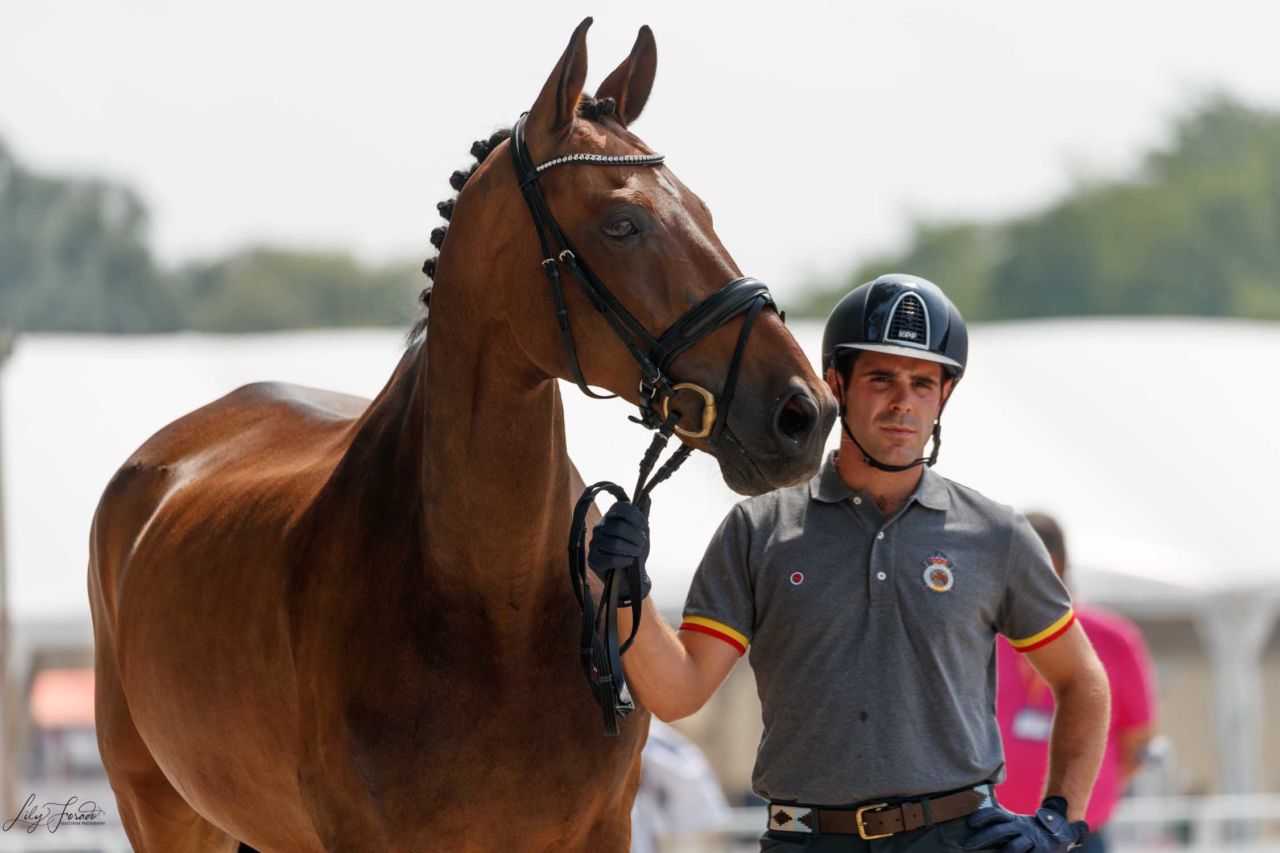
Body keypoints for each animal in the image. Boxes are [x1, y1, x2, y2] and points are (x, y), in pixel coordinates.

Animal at [87, 19, 829, 850]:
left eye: (701, 208)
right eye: (623, 222)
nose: (802, 410)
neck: (491, 603)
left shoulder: (602, 825)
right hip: (161, 807)